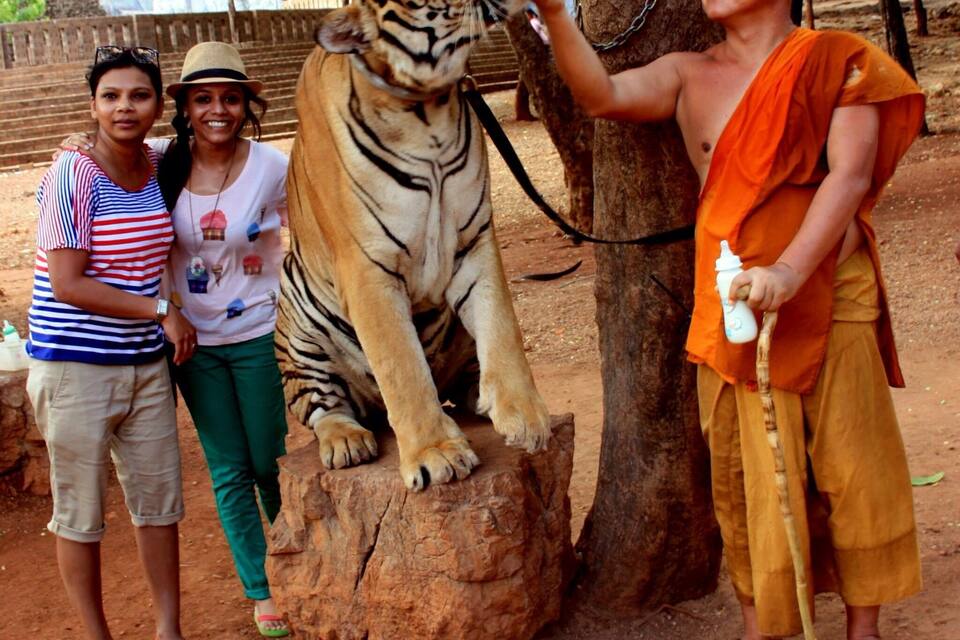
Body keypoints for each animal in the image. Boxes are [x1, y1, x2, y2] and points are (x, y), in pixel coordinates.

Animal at [276, 0, 551, 492]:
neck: (426, 110)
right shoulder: (367, 268)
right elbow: (401, 365)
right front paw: (435, 453)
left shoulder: (474, 240)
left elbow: (503, 327)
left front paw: (527, 416)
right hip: (295, 315)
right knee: (324, 406)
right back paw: (347, 441)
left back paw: (481, 397)